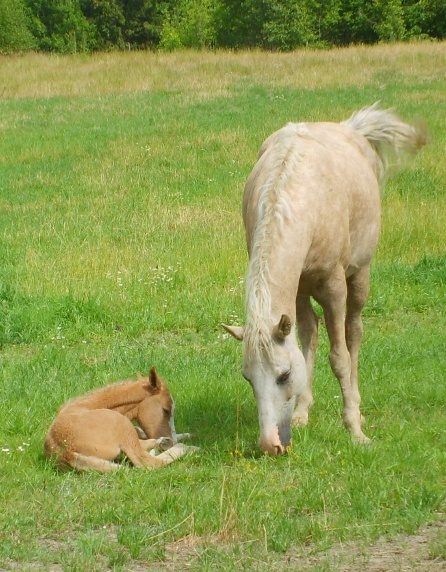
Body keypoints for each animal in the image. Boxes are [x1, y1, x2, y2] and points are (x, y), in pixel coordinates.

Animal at [44, 368, 196, 472]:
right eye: (166, 410)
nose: (173, 440)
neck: (87, 406)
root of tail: (67, 452)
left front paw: (186, 435)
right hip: (123, 426)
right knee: (147, 461)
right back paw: (185, 447)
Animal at [225, 104, 426, 456]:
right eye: (248, 377)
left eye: (284, 375)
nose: (269, 445)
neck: (297, 195)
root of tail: (350, 129)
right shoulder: (295, 289)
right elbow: (308, 341)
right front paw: (303, 413)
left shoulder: (333, 287)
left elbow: (340, 357)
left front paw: (355, 429)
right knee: (310, 333)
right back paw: (304, 410)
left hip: (358, 278)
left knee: (353, 333)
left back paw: (357, 408)